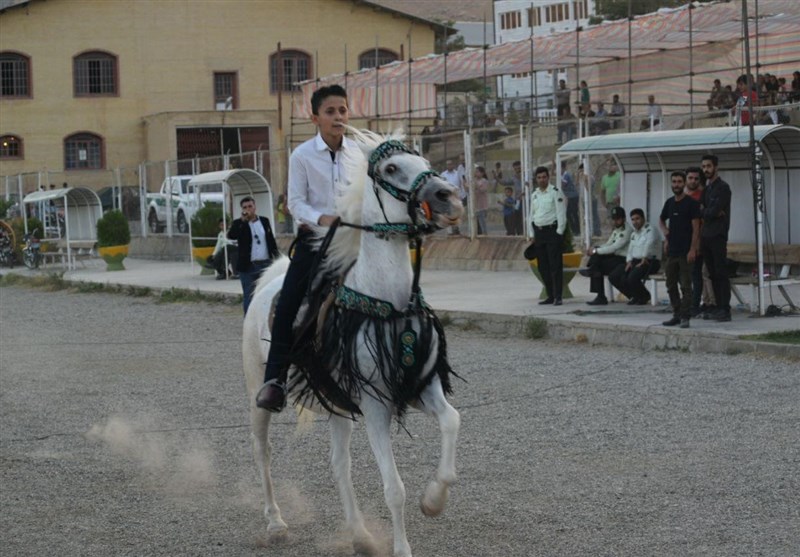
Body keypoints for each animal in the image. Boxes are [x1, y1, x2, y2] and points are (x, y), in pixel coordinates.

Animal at [241, 130, 460, 556]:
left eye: (424, 160)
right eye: (391, 168)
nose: (448, 196)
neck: (388, 303)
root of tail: (269, 282)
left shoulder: (423, 387)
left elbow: (451, 422)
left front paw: (434, 500)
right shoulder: (376, 405)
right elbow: (394, 488)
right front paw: (402, 548)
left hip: (338, 404)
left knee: (338, 464)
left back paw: (359, 535)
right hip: (259, 389)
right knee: (262, 452)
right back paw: (276, 522)